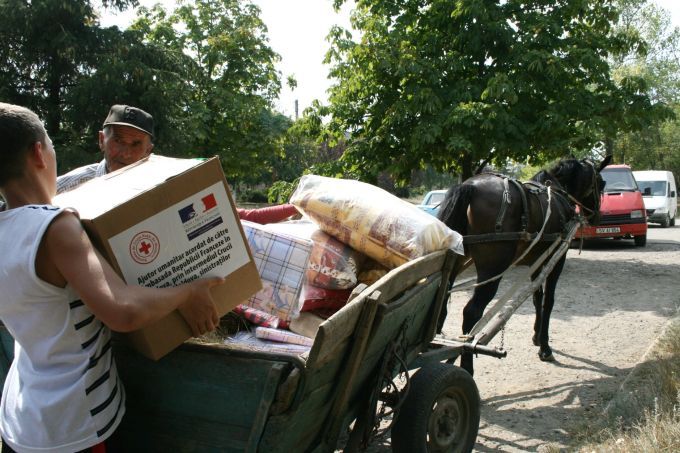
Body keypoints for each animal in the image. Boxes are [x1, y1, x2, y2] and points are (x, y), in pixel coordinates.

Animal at [438, 155, 612, 374]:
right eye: (601, 182)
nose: (597, 215)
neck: (557, 192)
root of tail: (471, 186)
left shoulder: (536, 261)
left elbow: (537, 297)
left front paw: (536, 337)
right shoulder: (556, 259)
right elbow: (549, 301)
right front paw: (545, 347)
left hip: (455, 262)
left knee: (442, 299)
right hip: (492, 269)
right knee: (472, 312)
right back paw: (466, 366)